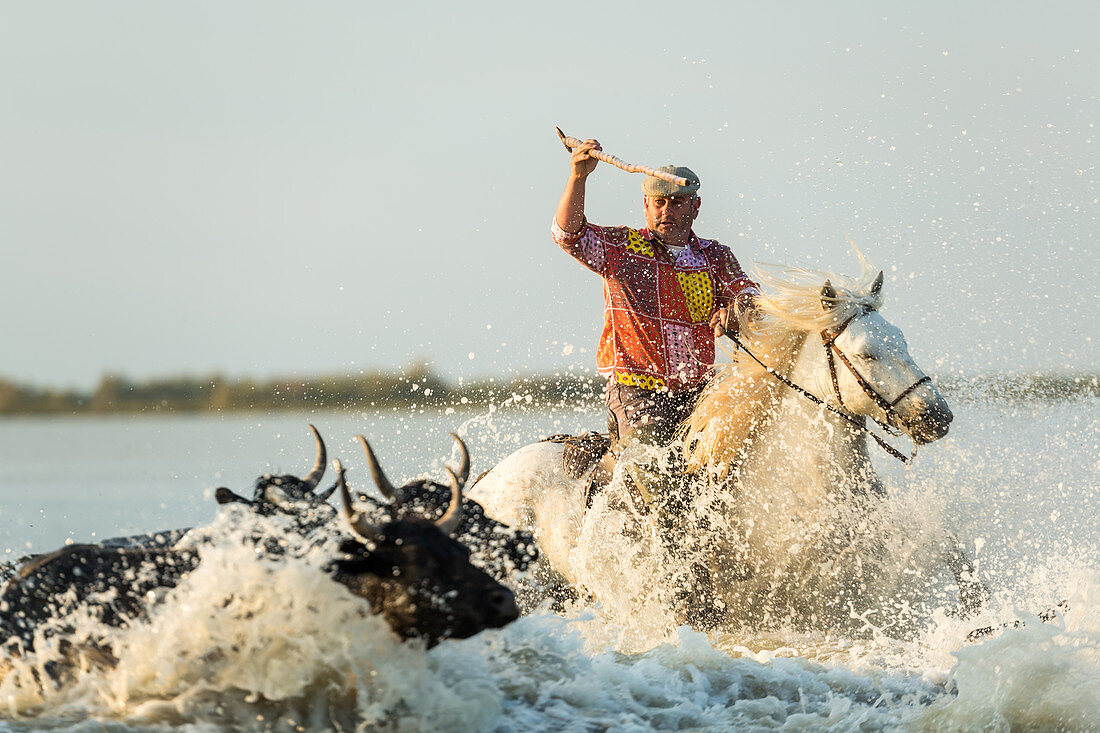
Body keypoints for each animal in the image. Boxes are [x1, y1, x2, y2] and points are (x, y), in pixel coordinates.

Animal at [473, 259, 981, 638]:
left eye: (902, 339)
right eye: (866, 353)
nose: (937, 416)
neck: (796, 475)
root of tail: (483, 483)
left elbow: (949, 545)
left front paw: (977, 614)